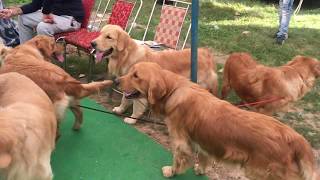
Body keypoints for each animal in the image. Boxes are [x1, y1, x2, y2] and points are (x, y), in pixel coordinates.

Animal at [91, 24, 219, 124]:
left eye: (109, 37)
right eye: (100, 34)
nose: (92, 43)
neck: (127, 55)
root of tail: (206, 54)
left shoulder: (140, 90)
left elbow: (136, 106)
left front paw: (132, 119)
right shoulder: (128, 84)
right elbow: (125, 99)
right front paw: (120, 109)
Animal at [116, 61, 318, 179]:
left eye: (136, 75)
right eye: (130, 72)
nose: (116, 80)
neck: (174, 89)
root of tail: (295, 138)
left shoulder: (181, 142)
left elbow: (177, 159)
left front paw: (171, 172)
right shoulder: (201, 140)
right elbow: (204, 157)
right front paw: (201, 170)